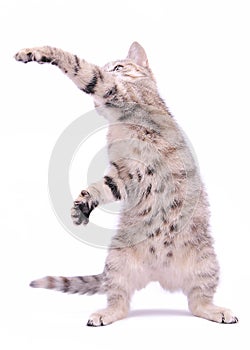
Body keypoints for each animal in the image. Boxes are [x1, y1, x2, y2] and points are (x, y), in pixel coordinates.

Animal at [14, 42, 237, 326]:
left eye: (119, 67)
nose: (114, 70)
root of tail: (158, 272)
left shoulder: (117, 91)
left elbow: (79, 65)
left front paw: (35, 51)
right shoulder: (124, 174)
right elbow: (102, 187)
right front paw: (82, 205)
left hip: (206, 263)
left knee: (199, 300)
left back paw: (216, 310)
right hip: (117, 262)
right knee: (119, 300)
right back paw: (105, 313)